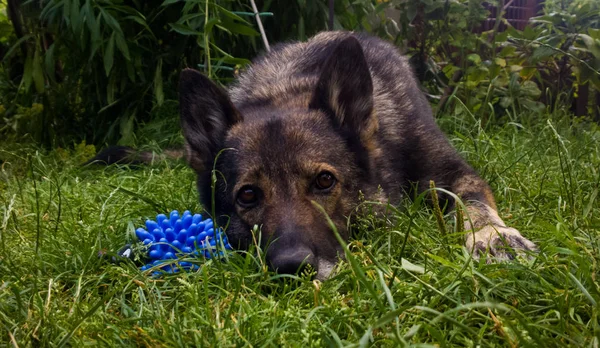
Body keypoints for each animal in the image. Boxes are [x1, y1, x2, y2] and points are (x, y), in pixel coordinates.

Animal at [95, 30, 540, 280]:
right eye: (248, 195)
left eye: (325, 181)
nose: (292, 268)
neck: (287, 89)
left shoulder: (450, 170)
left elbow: (472, 199)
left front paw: (492, 236)